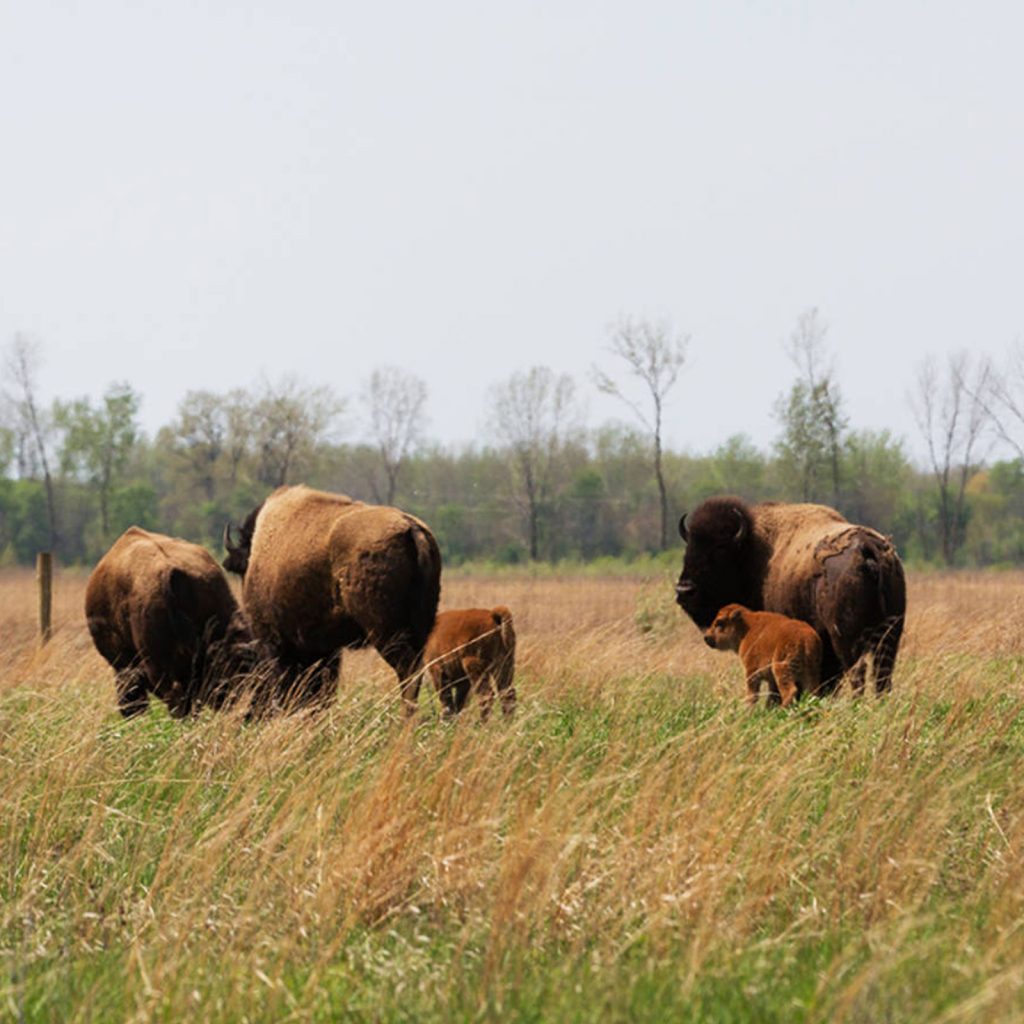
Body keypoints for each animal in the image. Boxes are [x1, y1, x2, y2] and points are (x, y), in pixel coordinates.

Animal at [222, 485, 442, 713]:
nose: (248, 713)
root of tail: (411, 528)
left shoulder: (272, 639)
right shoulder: (322, 648)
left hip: (385, 632)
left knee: (406, 669)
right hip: (420, 627)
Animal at [675, 496, 905, 693]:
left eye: (720, 549)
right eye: (689, 548)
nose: (684, 591)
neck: (753, 551)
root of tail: (867, 547)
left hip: (847, 639)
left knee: (858, 674)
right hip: (890, 635)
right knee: (881, 676)